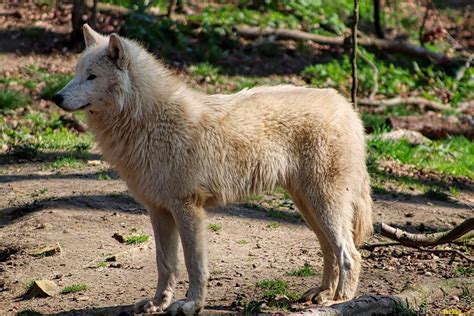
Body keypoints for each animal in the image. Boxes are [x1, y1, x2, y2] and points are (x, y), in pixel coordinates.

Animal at [54, 24, 374, 314]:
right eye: (76, 73)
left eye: (91, 76)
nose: (56, 97)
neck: (148, 120)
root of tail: (346, 106)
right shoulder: (158, 211)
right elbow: (165, 264)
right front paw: (158, 303)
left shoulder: (188, 208)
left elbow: (194, 264)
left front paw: (191, 305)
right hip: (308, 205)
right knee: (329, 249)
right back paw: (322, 293)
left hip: (323, 204)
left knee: (350, 253)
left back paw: (339, 300)